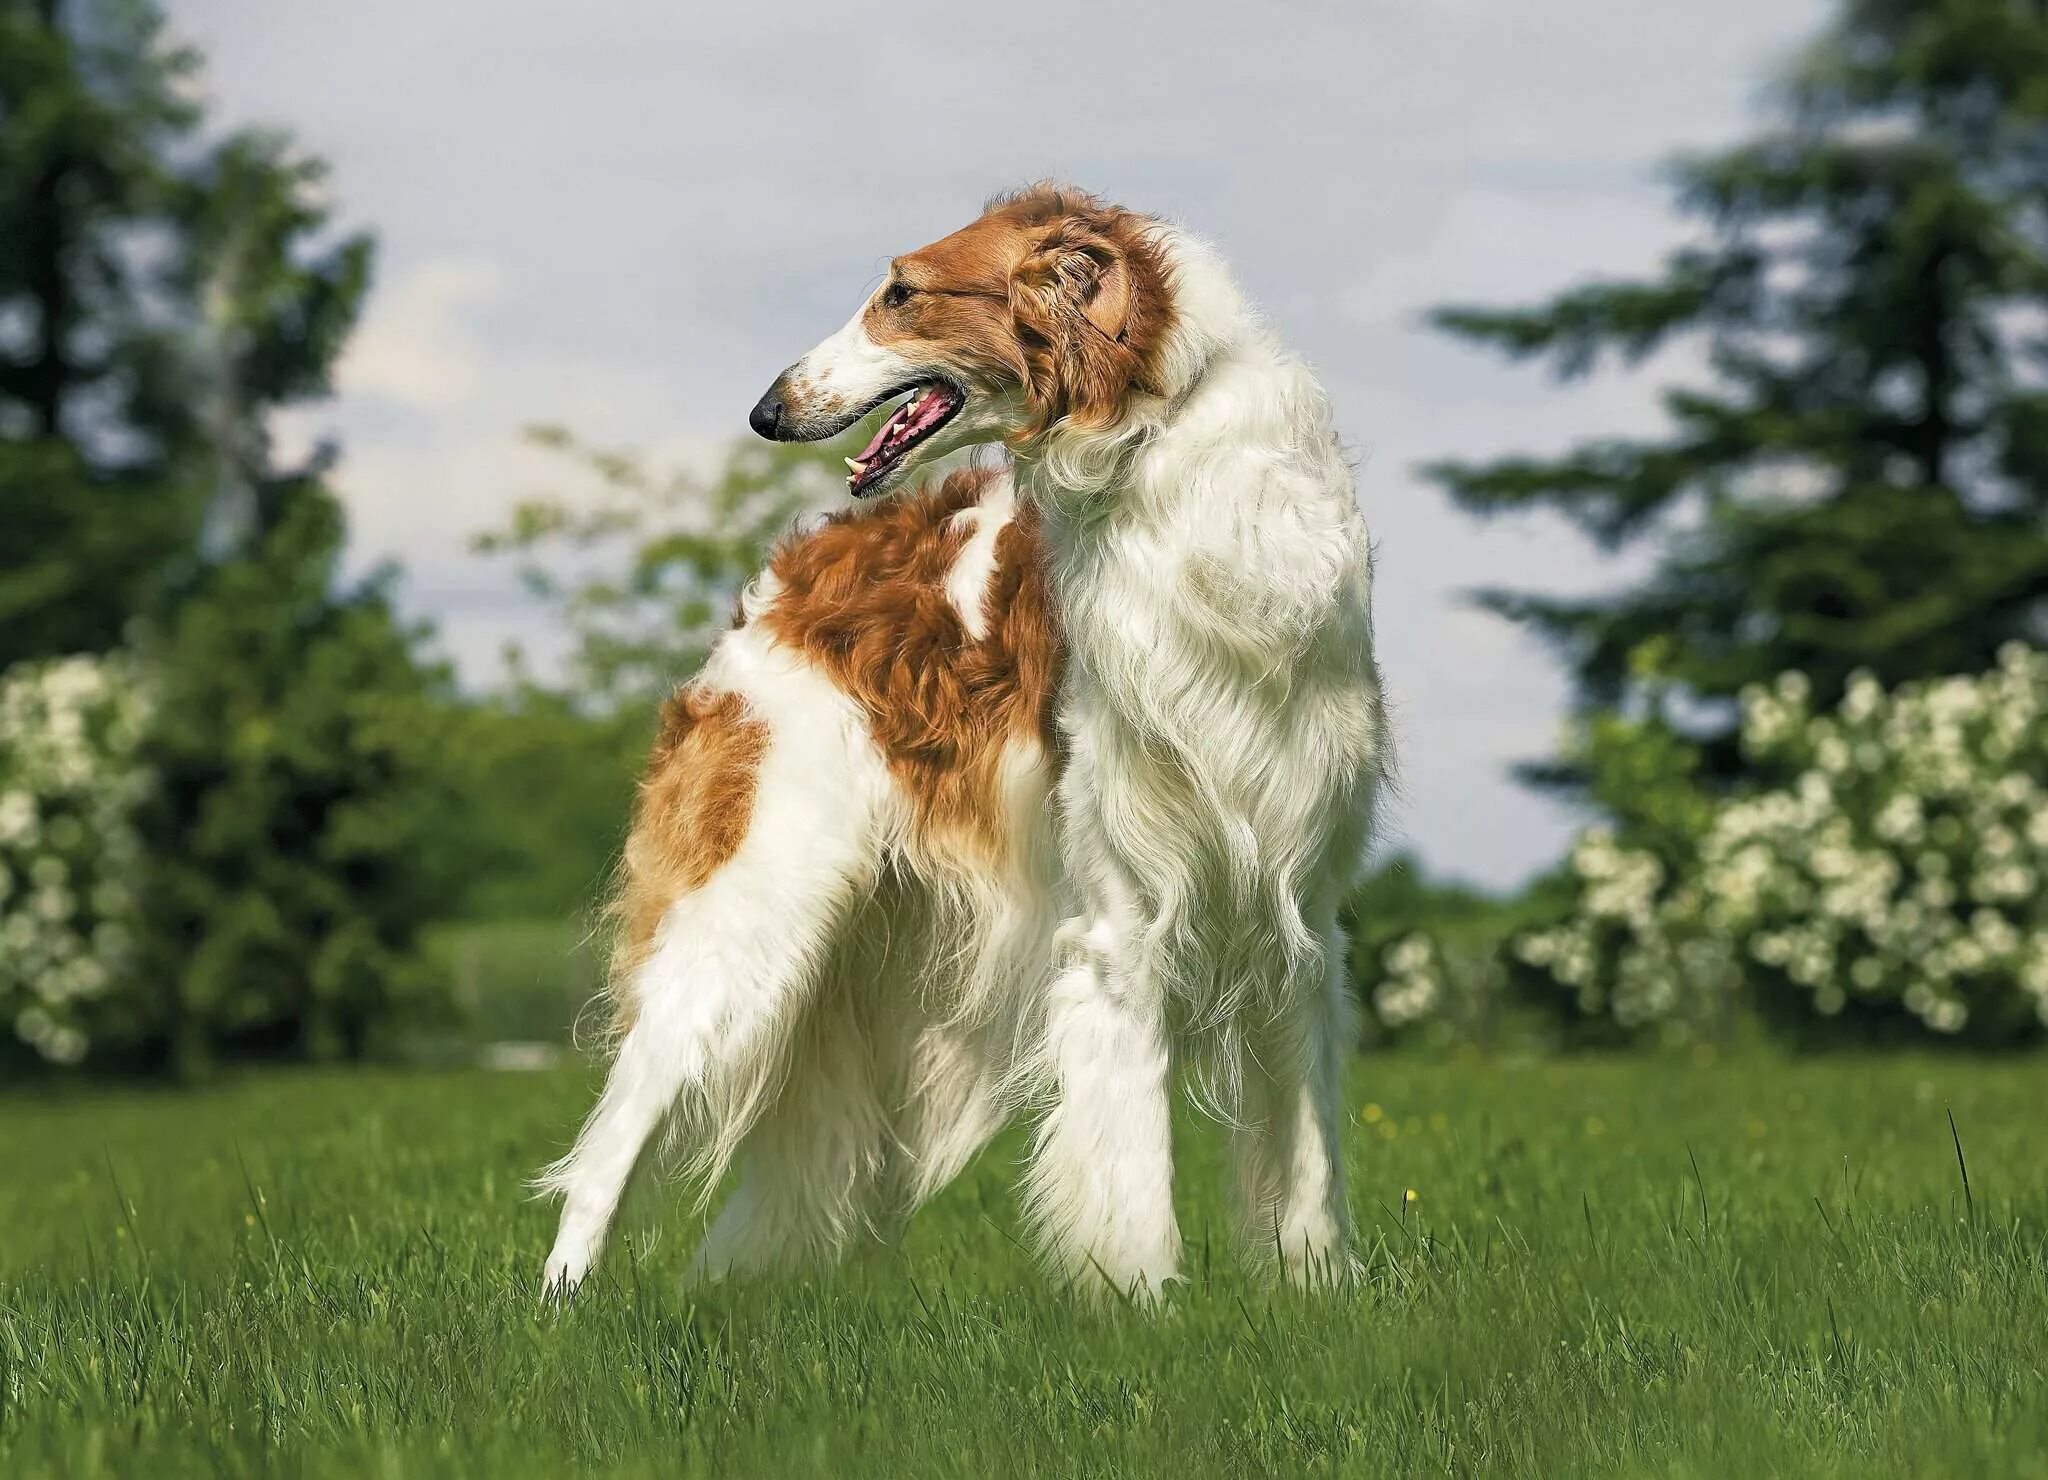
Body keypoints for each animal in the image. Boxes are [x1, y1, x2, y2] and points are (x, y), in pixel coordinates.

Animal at [536, 188, 1384, 1310]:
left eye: (901, 294)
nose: (767, 410)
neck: (1161, 457)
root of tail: (785, 580)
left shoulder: (1300, 908)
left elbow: (1310, 1171)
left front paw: (1322, 1297)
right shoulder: (1119, 924)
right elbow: (1135, 1168)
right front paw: (1152, 1309)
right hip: (750, 915)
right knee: (608, 1143)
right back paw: (558, 1309)